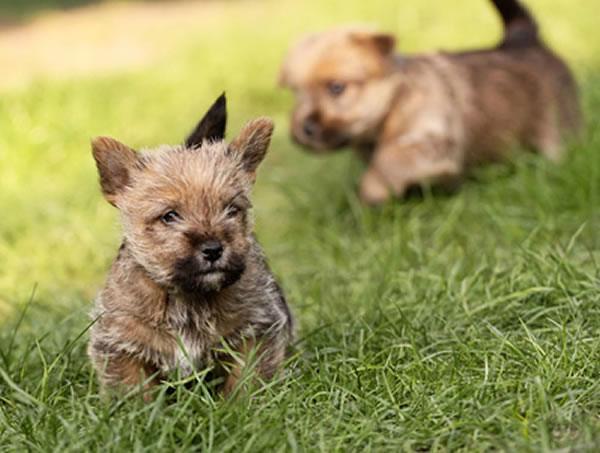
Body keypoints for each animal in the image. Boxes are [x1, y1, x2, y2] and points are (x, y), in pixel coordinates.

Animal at [88, 93, 292, 398]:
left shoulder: (256, 328)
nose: (213, 249)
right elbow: (133, 388)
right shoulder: (122, 341)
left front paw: (242, 404)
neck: (187, 299)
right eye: (169, 216)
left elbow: (247, 377)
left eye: (231, 210)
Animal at [280, 0, 580, 204]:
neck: (395, 103)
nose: (304, 129)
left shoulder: (432, 140)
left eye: (336, 88)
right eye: (296, 92)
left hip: (557, 128)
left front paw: (372, 191)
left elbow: (391, 158)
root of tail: (525, 40)